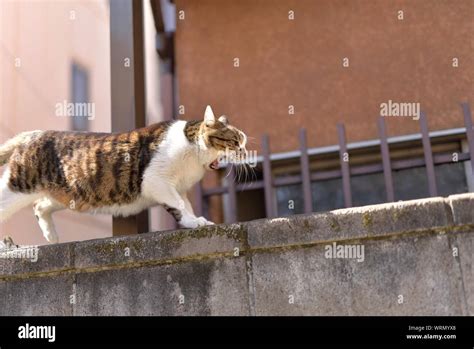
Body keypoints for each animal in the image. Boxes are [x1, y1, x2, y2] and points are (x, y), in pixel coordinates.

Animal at [0, 104, 250, 243]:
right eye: (235, 142)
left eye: (244, 142)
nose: (246, 152)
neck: (194, 155)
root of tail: (33, 133)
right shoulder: (155, 181)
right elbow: (178, 204)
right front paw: (193, 221)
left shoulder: (177, 188)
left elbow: (184, 205)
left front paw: (195, 220)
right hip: (18, 185)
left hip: (68, 195)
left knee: (40, 205)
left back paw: (51, 236)